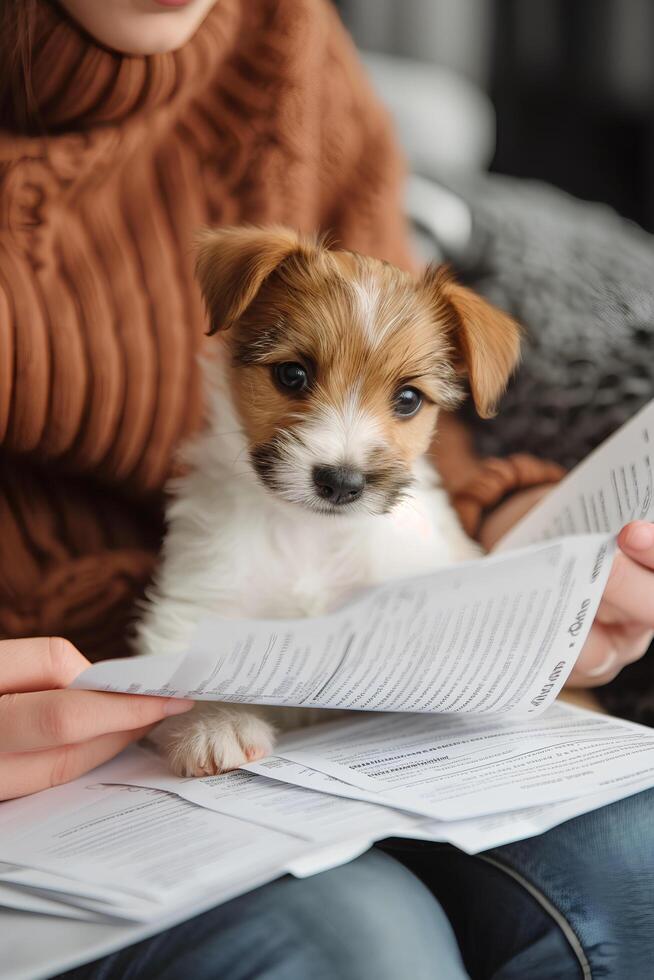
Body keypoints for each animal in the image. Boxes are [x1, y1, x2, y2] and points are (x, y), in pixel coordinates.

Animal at [140, 226, 524, 776]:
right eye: (292, 375)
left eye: (408, 399)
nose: (342, 481)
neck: (310, 535)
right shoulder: (200, 597)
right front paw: (213, 724)